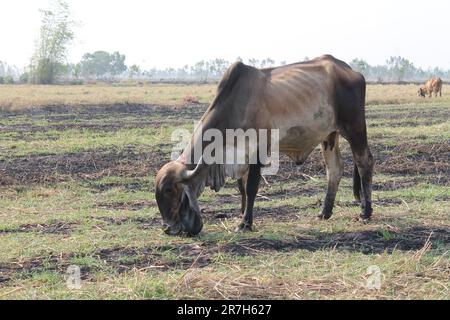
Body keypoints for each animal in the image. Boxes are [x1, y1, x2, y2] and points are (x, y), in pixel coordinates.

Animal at [156, 54, 374, 235]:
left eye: (169, 190)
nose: (168, 229)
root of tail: (349, 70)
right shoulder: (240, 155)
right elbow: (242, 188)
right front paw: (243, 215)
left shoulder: (260, 150)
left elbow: (252, 187)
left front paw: (245, 223)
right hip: (329, 135)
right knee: (334, 169)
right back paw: (324, 213)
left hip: (354, 127)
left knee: (364, 162)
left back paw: (365, 212)